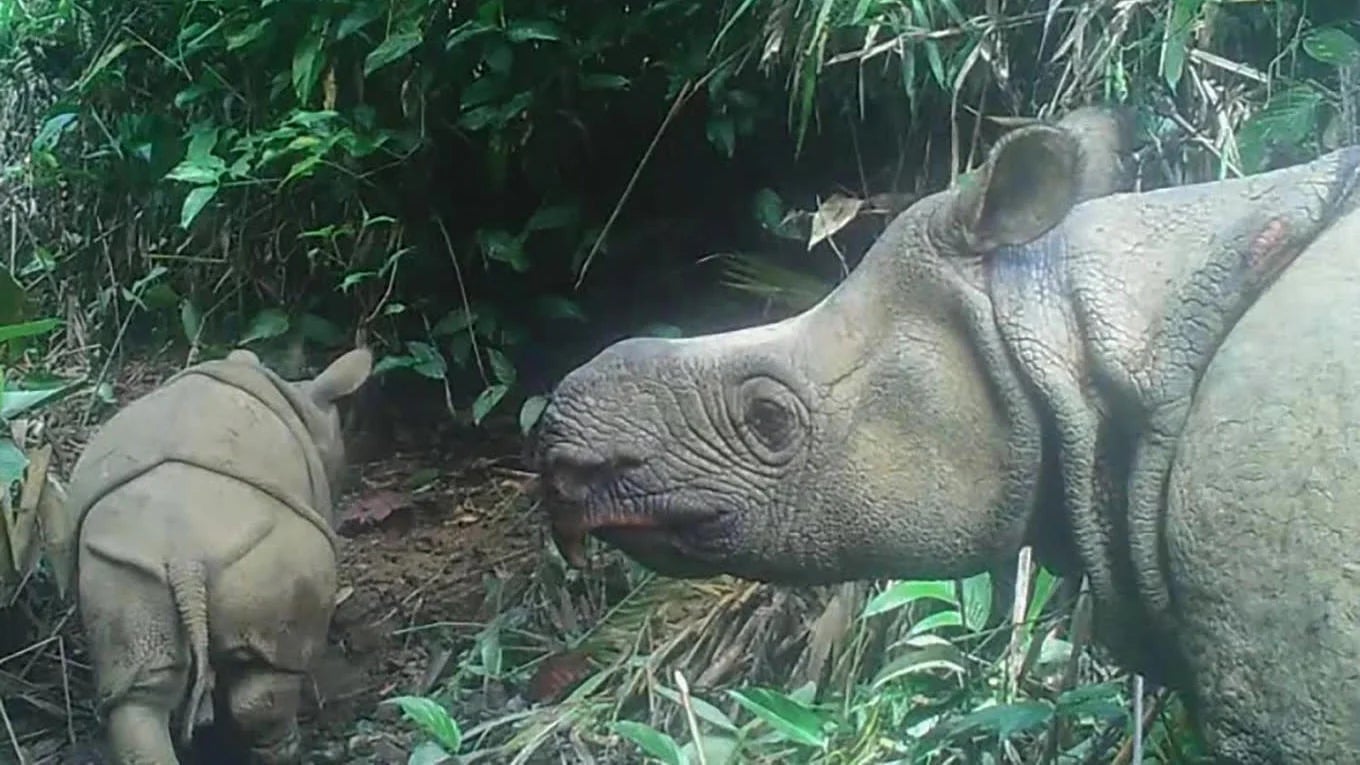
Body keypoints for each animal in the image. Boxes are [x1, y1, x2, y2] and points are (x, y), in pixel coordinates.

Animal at [68, 347, 373, 764]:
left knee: (140, 693)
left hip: (120, 571)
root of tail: (184, 558)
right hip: (265, 559)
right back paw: (287, 749)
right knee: (270, 670)